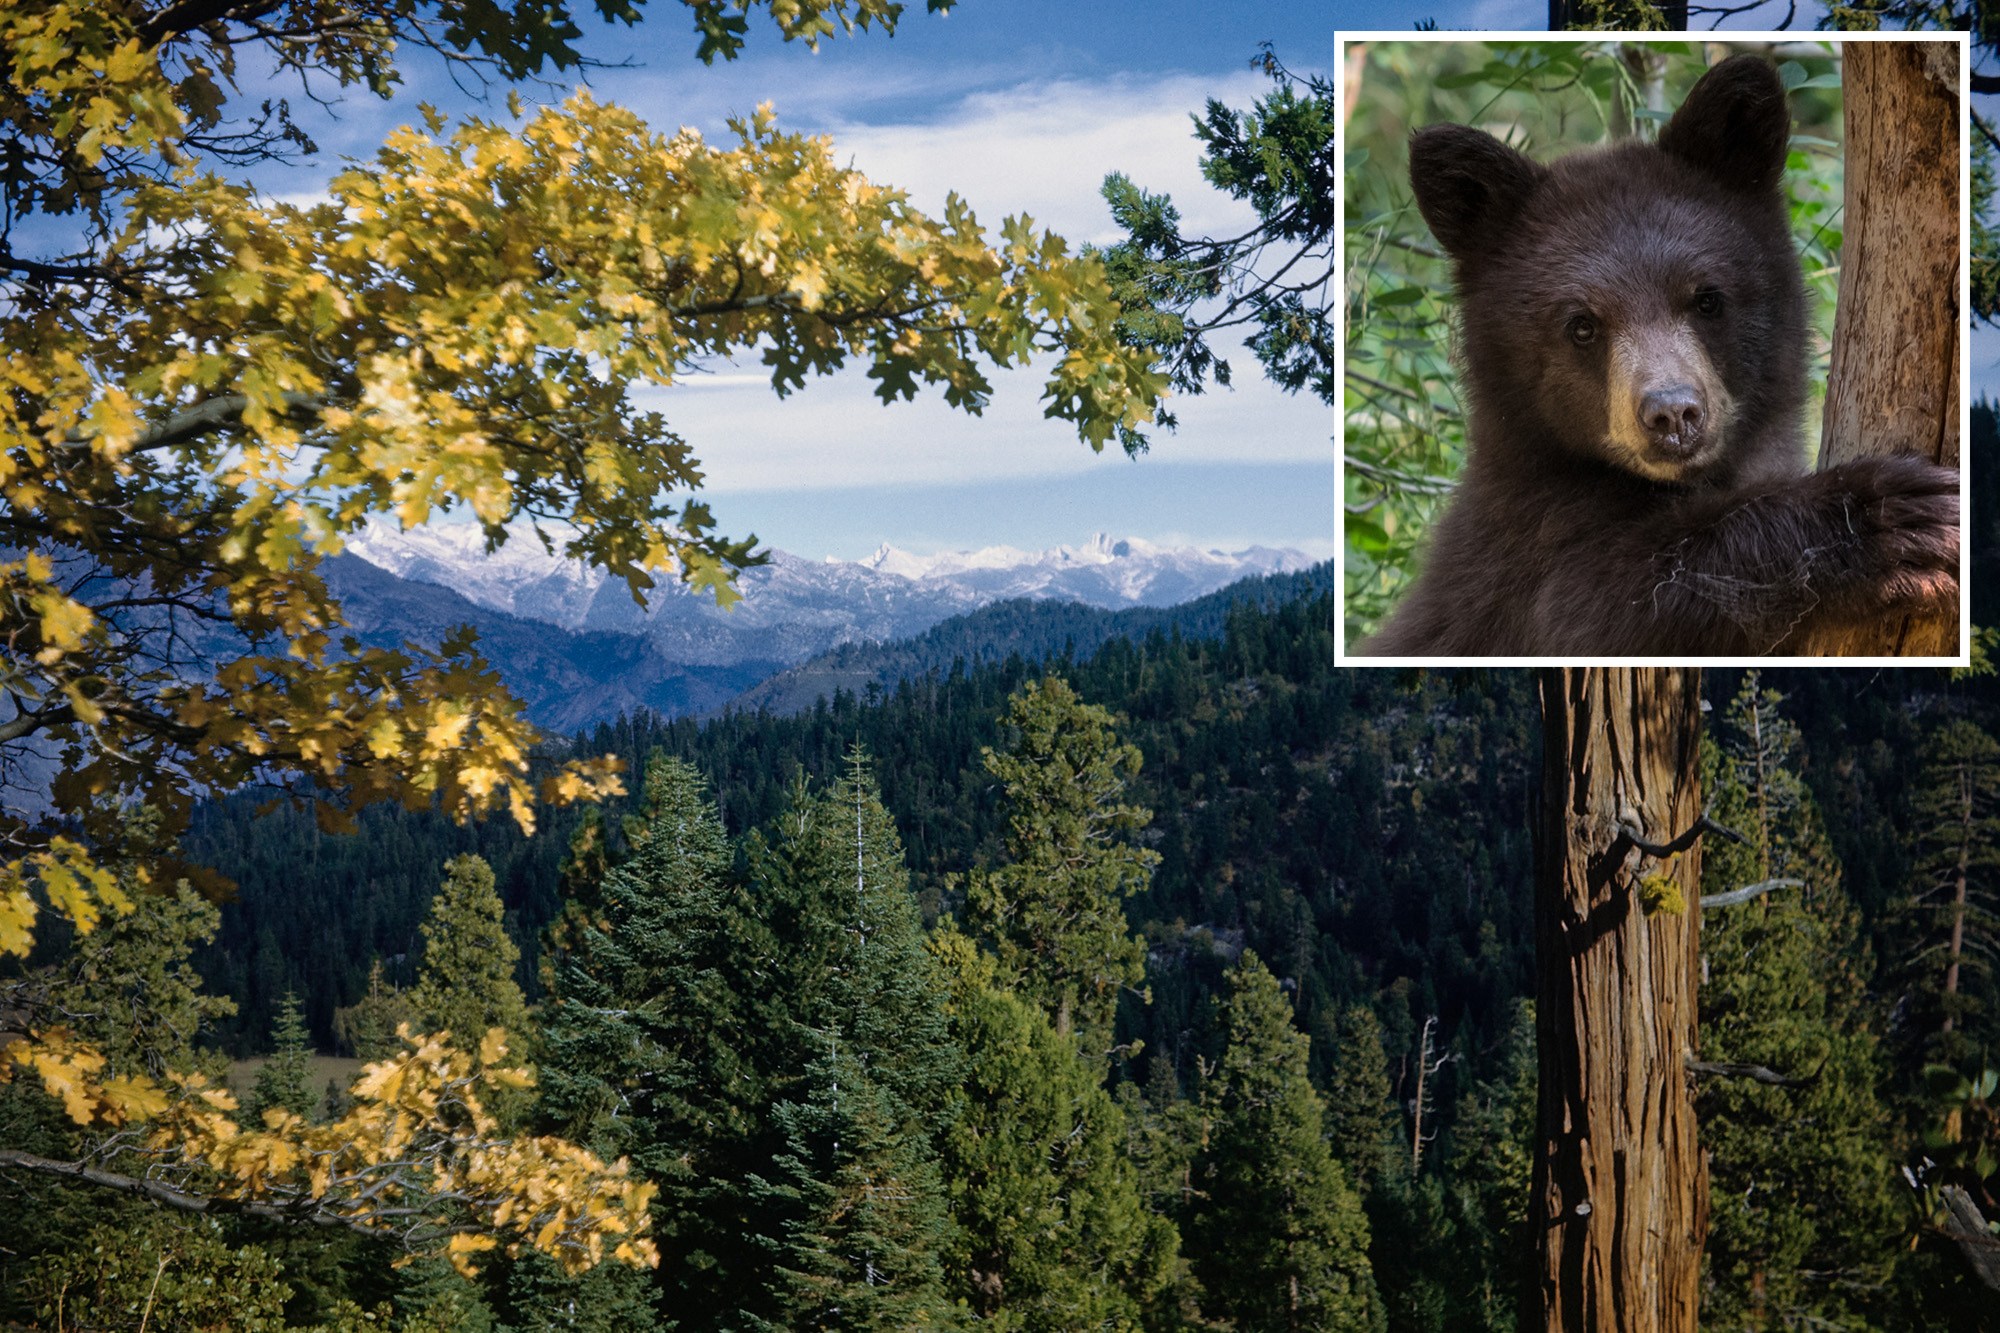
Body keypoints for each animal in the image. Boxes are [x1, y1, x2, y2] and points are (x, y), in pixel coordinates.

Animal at [1357, 54, 1959, 658]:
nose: (1672, 413)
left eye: (1707, 298)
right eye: (1581, 326)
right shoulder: (1523, 569)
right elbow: (1601, 607)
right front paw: (1890, 518)